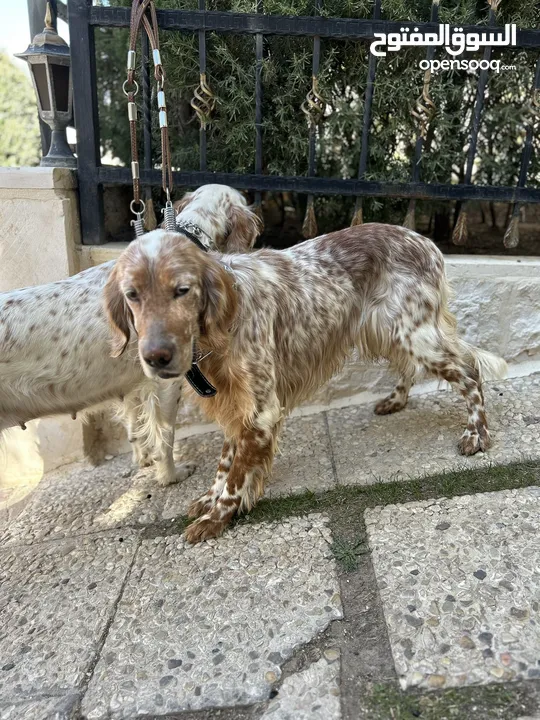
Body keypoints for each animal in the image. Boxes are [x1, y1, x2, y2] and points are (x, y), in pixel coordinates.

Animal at [0, 183, 262, 486]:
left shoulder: (134, 384)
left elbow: (135, 427)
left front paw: (143, 460)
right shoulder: (165, 382)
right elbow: (165, 436)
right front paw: (170, 475)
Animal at [105, 224, 506, 540]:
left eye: (182, 290)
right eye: (132, 295)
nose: (155, 357)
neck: (221, 326)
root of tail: (428, 243)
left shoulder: (261, 410)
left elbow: (236, 477)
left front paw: (217, 517)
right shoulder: (237, 405)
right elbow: (224, 464)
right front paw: (209, 499)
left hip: (411, 334)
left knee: (470, 370)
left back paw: (476, 434)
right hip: (389, 332)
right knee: (416, 368)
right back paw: (396, 400)